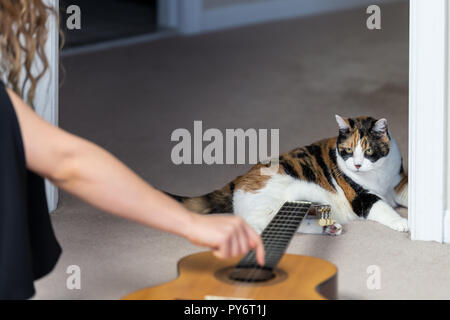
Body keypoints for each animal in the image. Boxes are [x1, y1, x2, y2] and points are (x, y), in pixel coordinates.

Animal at [169, 116, 408, 234]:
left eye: (368, 151)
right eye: (348, 150)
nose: (357, 165)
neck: (379, 176)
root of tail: (239, 178)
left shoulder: (399, 182)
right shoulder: (360, 197)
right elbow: (382, 208)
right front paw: (402, 222)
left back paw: (329, 227)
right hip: (268, 201)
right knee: (257, 224)